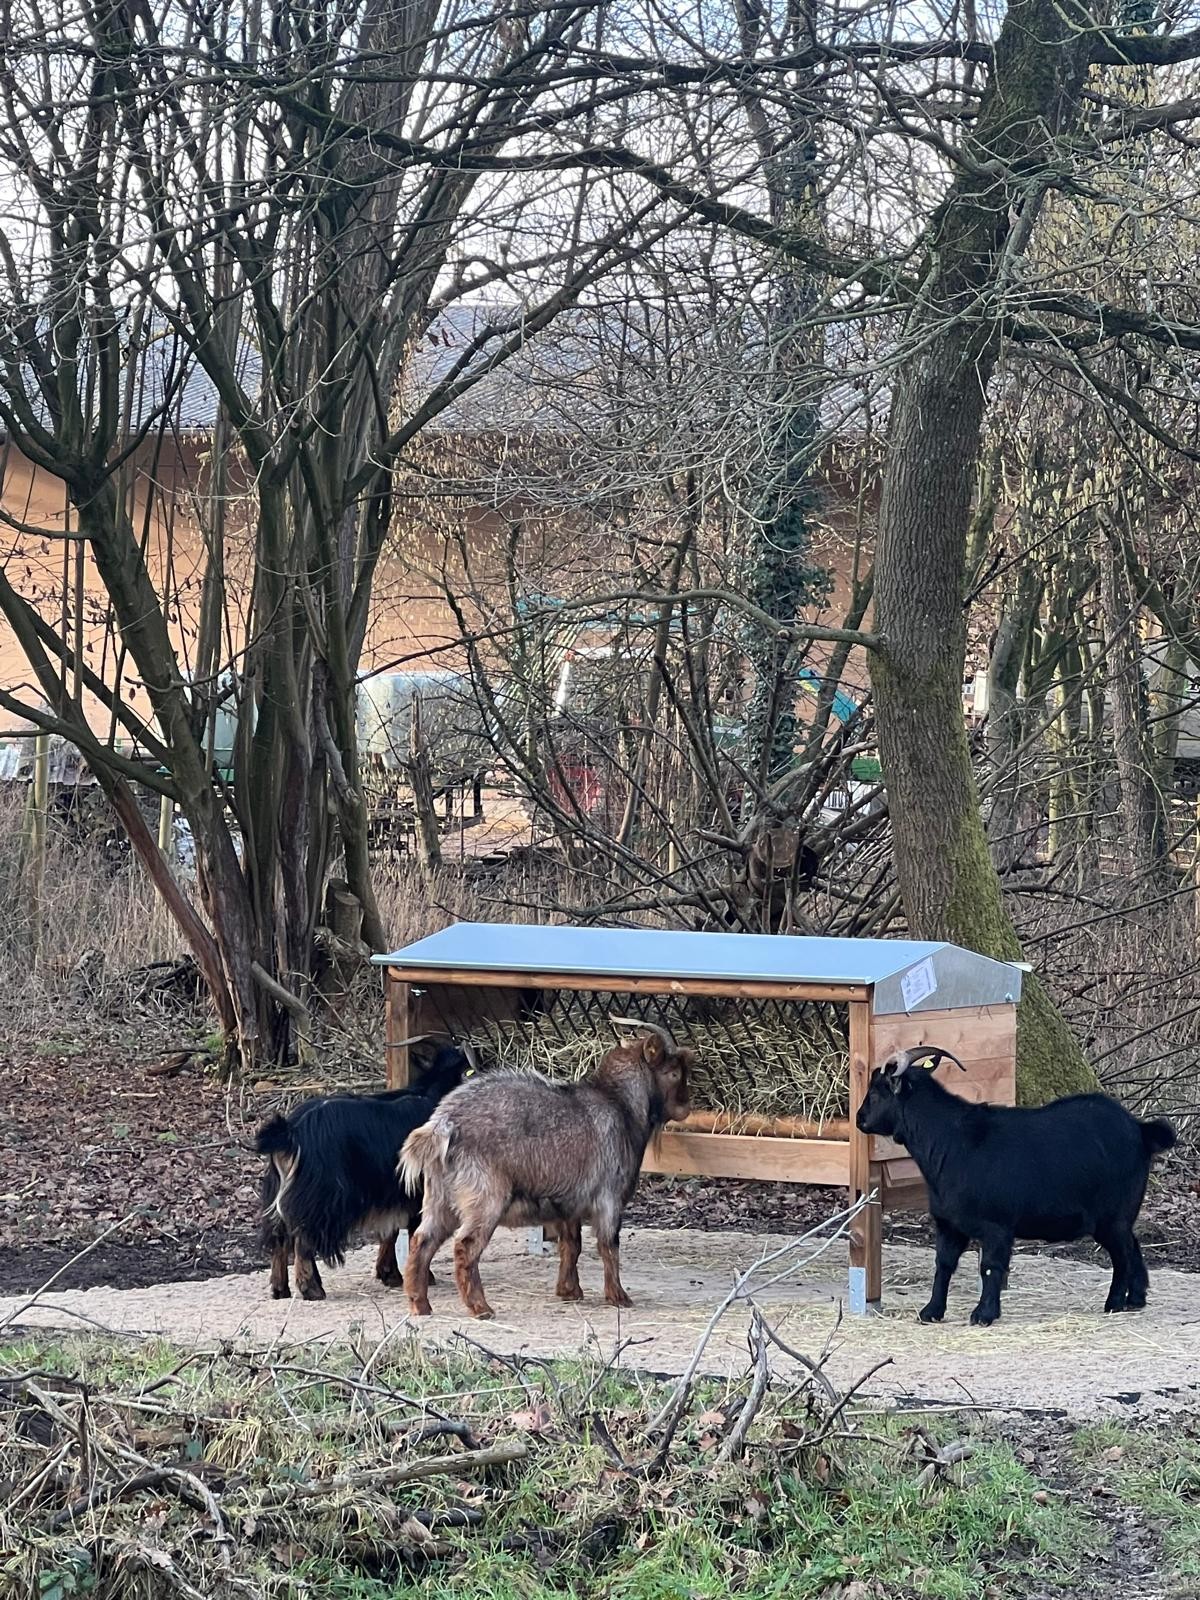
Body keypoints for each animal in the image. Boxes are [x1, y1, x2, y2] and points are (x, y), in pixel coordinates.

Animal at [255, 1043, 473, 1301]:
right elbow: (414, 1230)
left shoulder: (391, 1192)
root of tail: (290, 1131)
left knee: (280, 1236)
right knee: (303, 1238)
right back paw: (311, 1288)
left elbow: (390, 1230)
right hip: (323, 1197)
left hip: (281, 1189)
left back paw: (280, 1289)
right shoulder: (415, 1190)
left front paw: (389, 1274)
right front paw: (421, 1276)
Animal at [399, 1020, 693, 1320]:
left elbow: (572, 1244)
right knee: (465, 1246)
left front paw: (569, 1291)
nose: (686, 1105)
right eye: (673, 1072)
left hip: (439, 1197)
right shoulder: (609, 1197)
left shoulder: (570, 1202)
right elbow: (609, 1245)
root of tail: (443, 1125)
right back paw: (480, 1308)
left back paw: (420, 1305)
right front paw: (619, 1297)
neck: (620, 1105)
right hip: (485, 1198)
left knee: (422, 1240)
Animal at [856, 1046, 1177, 1325]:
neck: (951, 1141)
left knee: (1122, 1255)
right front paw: (931, 1312)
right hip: (1119, 1217)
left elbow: (990, 1267)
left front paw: (984, 1315)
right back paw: (1136, 1299)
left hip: (1112, 1217)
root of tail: (1141, 1130)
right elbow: (944, 1265)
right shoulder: (949, 1224)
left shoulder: (996, 1225)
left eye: (877, 1092)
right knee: (1133, 1246)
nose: (860, 1119)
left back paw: (1114, 1303)